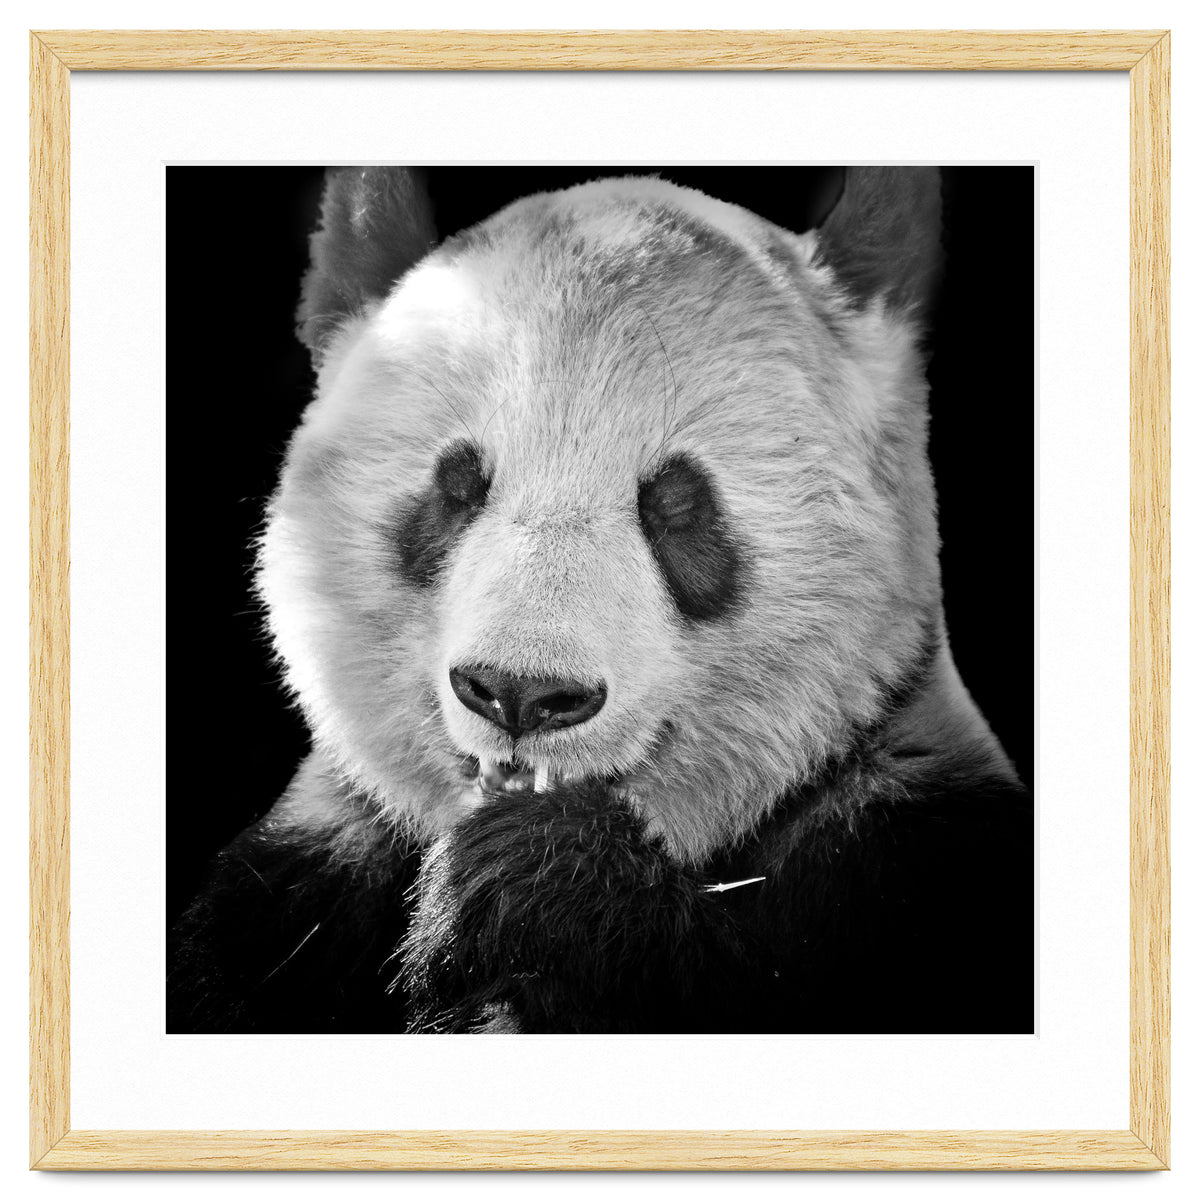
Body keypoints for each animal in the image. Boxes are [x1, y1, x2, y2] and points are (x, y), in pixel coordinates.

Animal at [168, 166, 1032, 1035]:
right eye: (457, 487)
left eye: (677, 504)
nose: (521, 693)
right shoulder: (295, 889)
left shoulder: (907, 856)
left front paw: (537, 881)